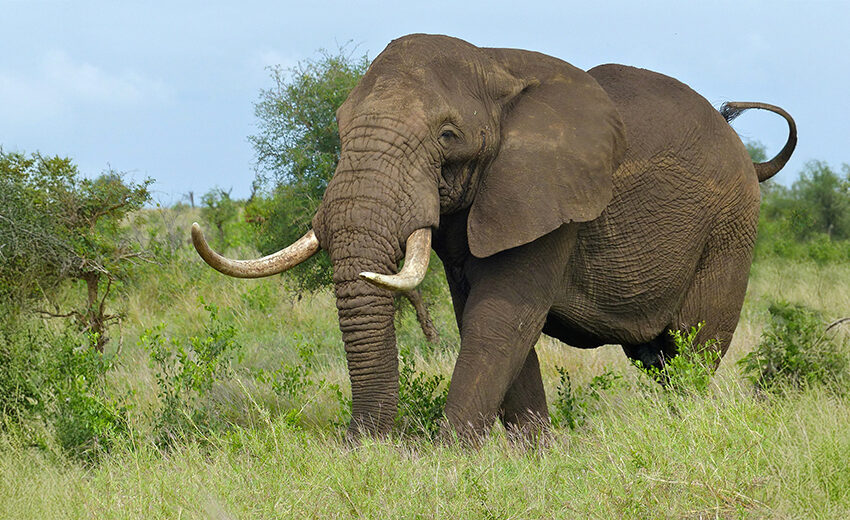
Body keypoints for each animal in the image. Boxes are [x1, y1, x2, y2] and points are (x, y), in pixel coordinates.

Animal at [191, 34, 796, 439]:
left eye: (447, 136)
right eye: (338, 129)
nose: (364, 449)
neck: (492, 63)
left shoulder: (553, 197)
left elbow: (503, 315)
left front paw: (445, 464)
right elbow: (485, 318)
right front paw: (537, 459)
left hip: (730, 229)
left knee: (692, 352)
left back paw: (682, 432)